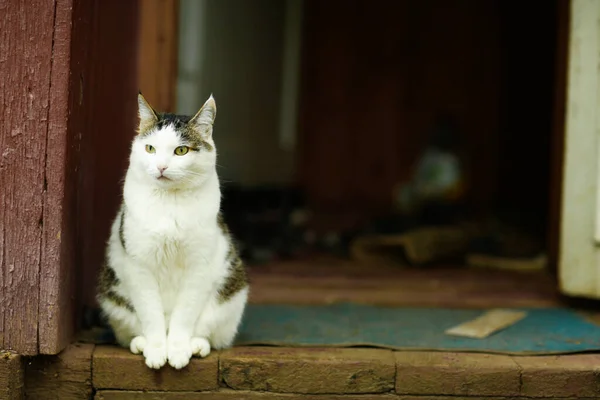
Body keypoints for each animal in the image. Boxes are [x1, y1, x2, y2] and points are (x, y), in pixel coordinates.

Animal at [97, 93, 247, 368]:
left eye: (181, 150)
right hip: (112, 295)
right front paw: (157, 351)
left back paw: (197, 346)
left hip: (231, 294)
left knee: (209, 331)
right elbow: (151, 314)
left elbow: (184, 315)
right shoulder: (140, 265)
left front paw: (177, 351)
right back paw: (141, 344)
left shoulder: (198, 265)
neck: (170, 203)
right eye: (150, 148)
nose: (161, 167)